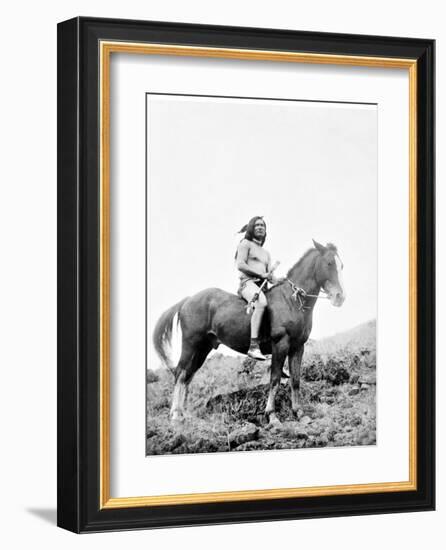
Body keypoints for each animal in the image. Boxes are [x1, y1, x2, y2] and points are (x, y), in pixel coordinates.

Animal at [153, 242, 344, 426]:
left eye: (341, 265)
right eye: (329, 263)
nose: (340, 297)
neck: (292, 300)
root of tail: (188, 299)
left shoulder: (297, 348)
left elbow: (295, 380)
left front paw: (299, 413)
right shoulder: (280, 345)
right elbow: (274, 379)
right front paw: (272, 415)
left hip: (202, 349)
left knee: (188, 376)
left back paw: (183, 414)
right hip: (190, 344)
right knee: (180, 373)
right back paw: (175, 415)